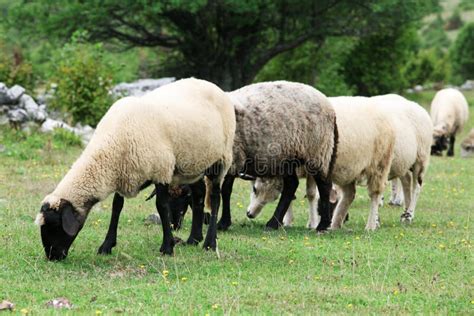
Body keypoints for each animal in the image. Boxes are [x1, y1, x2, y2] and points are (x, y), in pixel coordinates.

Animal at [34, 78, 237, 260]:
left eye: (54, 225)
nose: (52, 256)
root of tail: (214, 86)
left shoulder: (161, 170)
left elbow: (161, 206)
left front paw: (167, 247)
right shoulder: (123, 173)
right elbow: (117, 207)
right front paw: (106, 246)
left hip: (222, 158)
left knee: (215, 198)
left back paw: (209, 243)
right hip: (193, 165)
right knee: (199, 196)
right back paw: (193, 239)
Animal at [213, 80, 338, 231]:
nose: (250, 215)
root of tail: (329, 106)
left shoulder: (235, 156)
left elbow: (225, 190)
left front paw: (223, 223)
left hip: (317, 151)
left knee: (324, 186)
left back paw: (322, 225)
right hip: (287, 157)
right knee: (291, 185)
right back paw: (274, 223)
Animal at [244, 94, 434, 230]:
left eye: (254, 188)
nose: (249, 214)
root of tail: (415, 104)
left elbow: (311, 194)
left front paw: (311, 222)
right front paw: (289, 220)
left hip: (417, 159)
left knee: (415, 187)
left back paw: (406, 215)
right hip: (401, 164)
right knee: (406, 183)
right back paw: (403, 213)